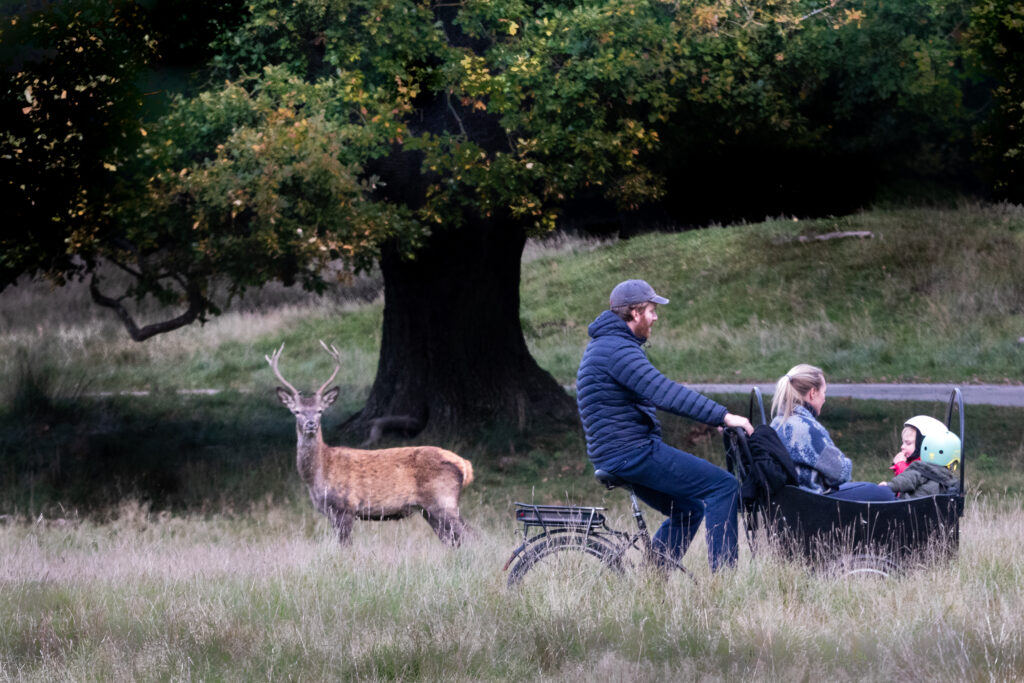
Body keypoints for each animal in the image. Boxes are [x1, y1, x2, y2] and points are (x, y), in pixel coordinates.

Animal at [264, 339, 471, 544]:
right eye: (296, 411)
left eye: (320, 411)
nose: (310, 424)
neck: (317, 475)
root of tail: (465, 465)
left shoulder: (345, 507)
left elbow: (345, 546)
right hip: (428, 509)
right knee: (453, 540)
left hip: (443, 500)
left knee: (470, 535)